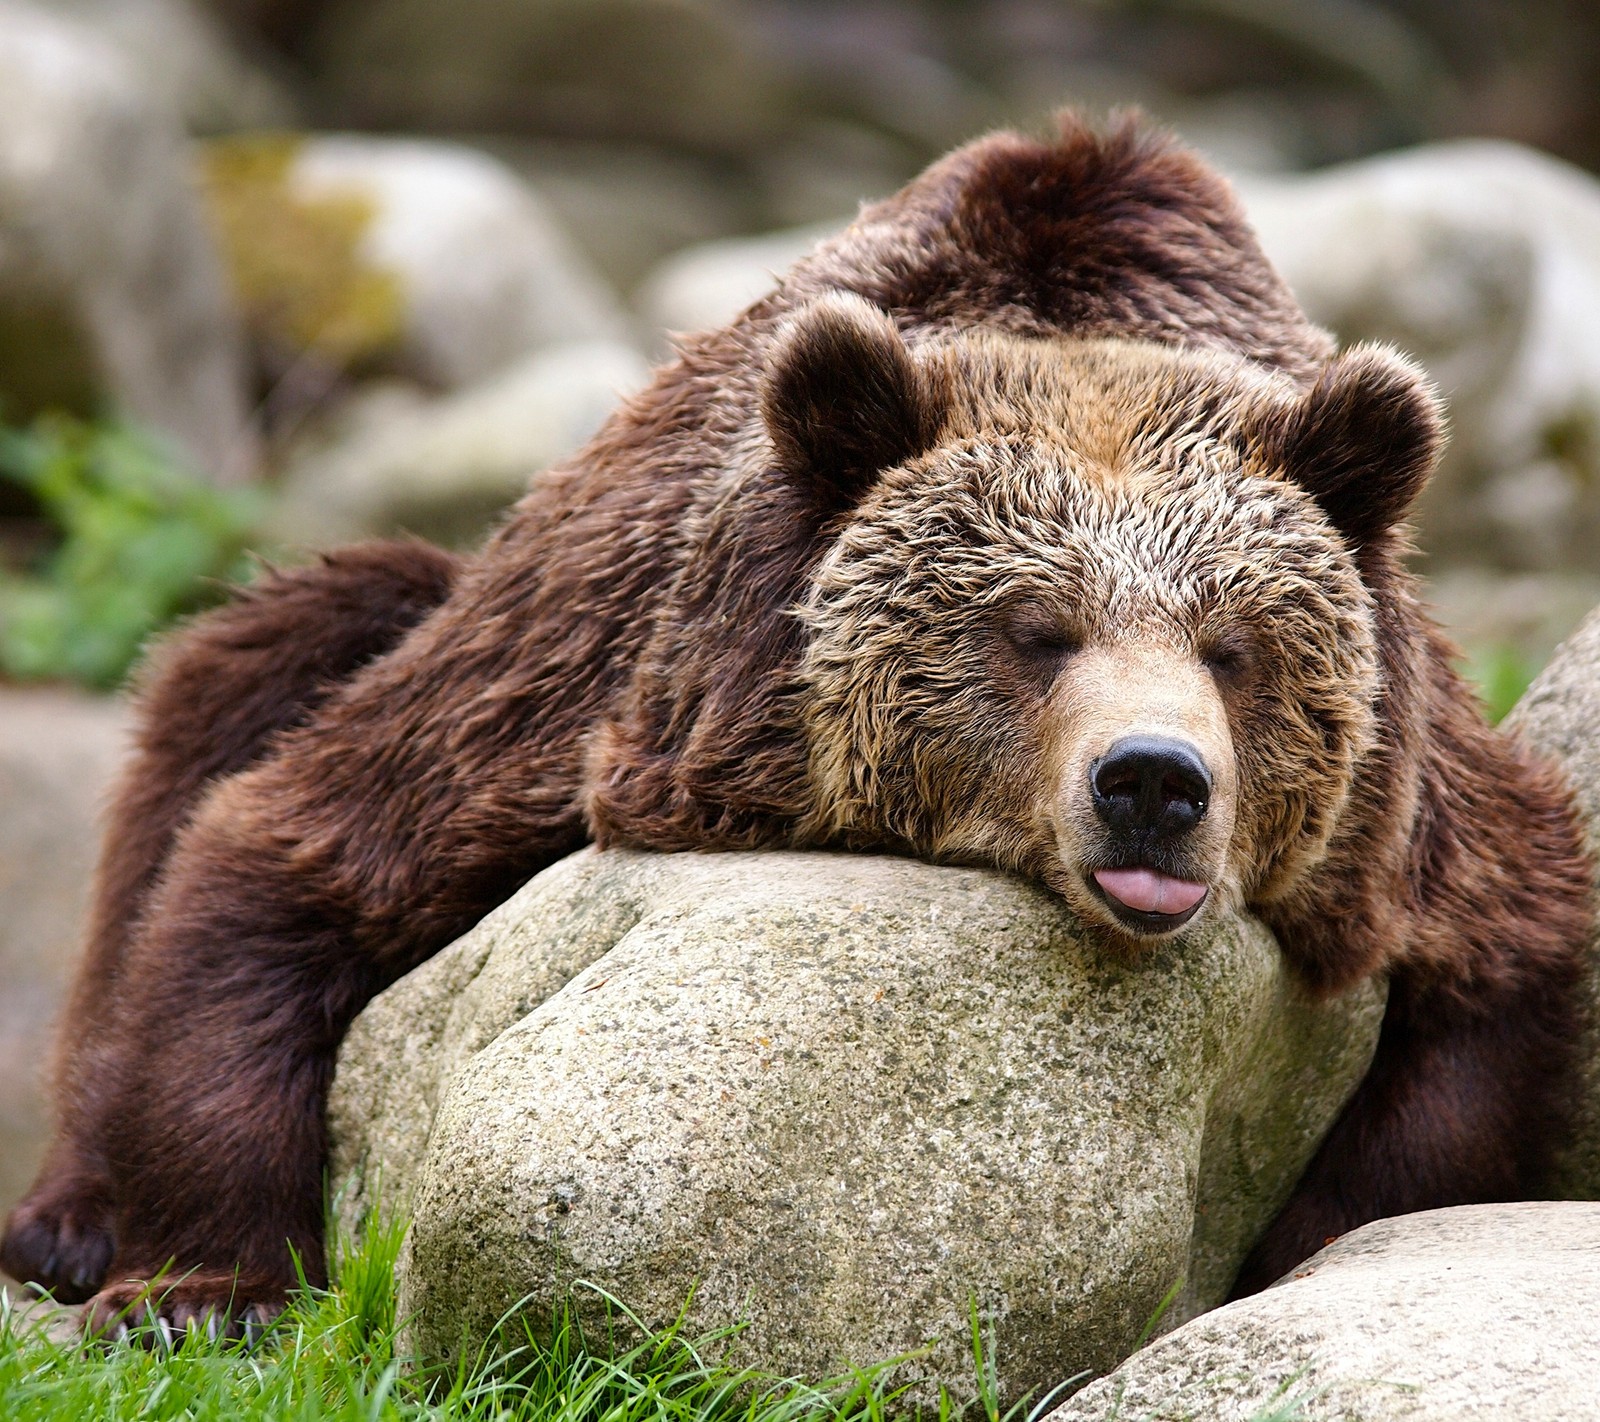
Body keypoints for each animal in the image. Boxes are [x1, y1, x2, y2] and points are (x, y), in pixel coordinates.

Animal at [0, 111, 1587, 1330]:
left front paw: (1283, 1247)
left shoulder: (1403, 815)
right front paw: (200, 1285)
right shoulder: (598, 686)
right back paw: (66, 1218)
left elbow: (1484, 996)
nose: (1153, 782)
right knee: (265, 657)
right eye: (1035, 631)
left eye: (1233, 646)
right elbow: (292, 847)